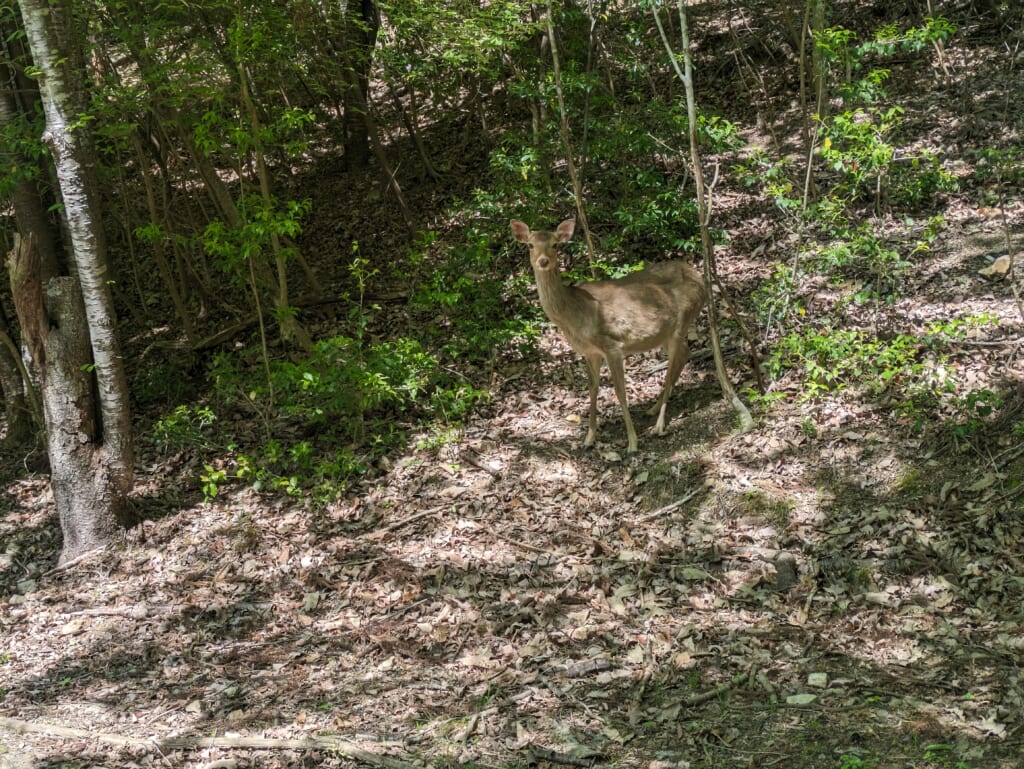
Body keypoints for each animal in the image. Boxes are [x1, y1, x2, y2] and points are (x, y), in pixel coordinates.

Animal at [512, 217, 704, 454]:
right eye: (530, 245)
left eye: (555, 244)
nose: (543, 261)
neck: (575, 316)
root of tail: (701, 279)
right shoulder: (590, 352)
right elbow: (592, 389)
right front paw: (588, 440)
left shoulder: (613, 345)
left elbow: (620, 392)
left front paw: (632, 444)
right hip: (665, 334)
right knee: (685, 353)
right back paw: (653, 408)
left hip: (682, 320)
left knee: (670, 368)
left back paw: (659, 425)